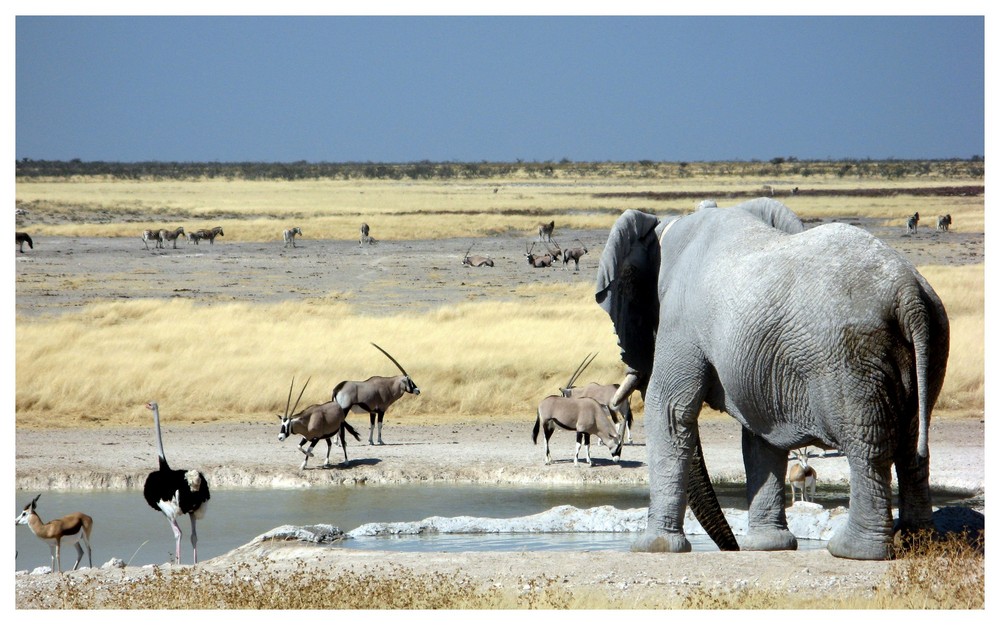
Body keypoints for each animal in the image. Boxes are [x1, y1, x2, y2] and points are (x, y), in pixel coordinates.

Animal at [596, 199, 948, 560]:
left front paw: (652, 548)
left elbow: (668, 411)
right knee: (912, 445)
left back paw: (853, 550)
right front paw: (768, 546)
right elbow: (760, 433)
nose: (732, 549)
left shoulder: (680, 322)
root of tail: (909, 294)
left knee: (868, 448)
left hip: (852, 356)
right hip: (931, 339)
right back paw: (918, 542)